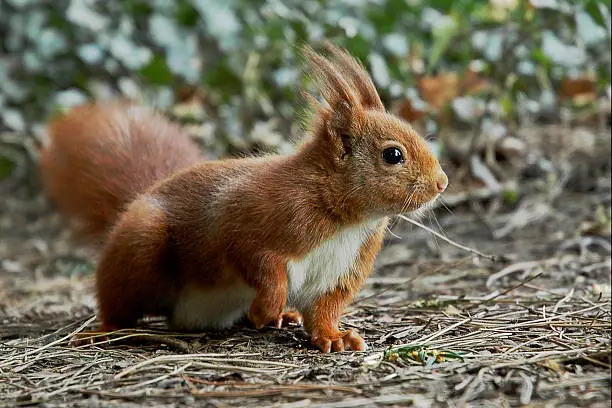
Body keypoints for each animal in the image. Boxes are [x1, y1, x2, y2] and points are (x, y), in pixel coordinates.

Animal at [39, 43, 450, 350]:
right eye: (392, 155)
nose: (442, 183)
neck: (345, 219)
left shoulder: (343, 268)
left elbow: (325, 308)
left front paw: (333, 336)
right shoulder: (249, 220)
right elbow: (260, 264)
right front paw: (266, 309)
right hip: (141, 240)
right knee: (117, 300)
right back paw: (104, 329)